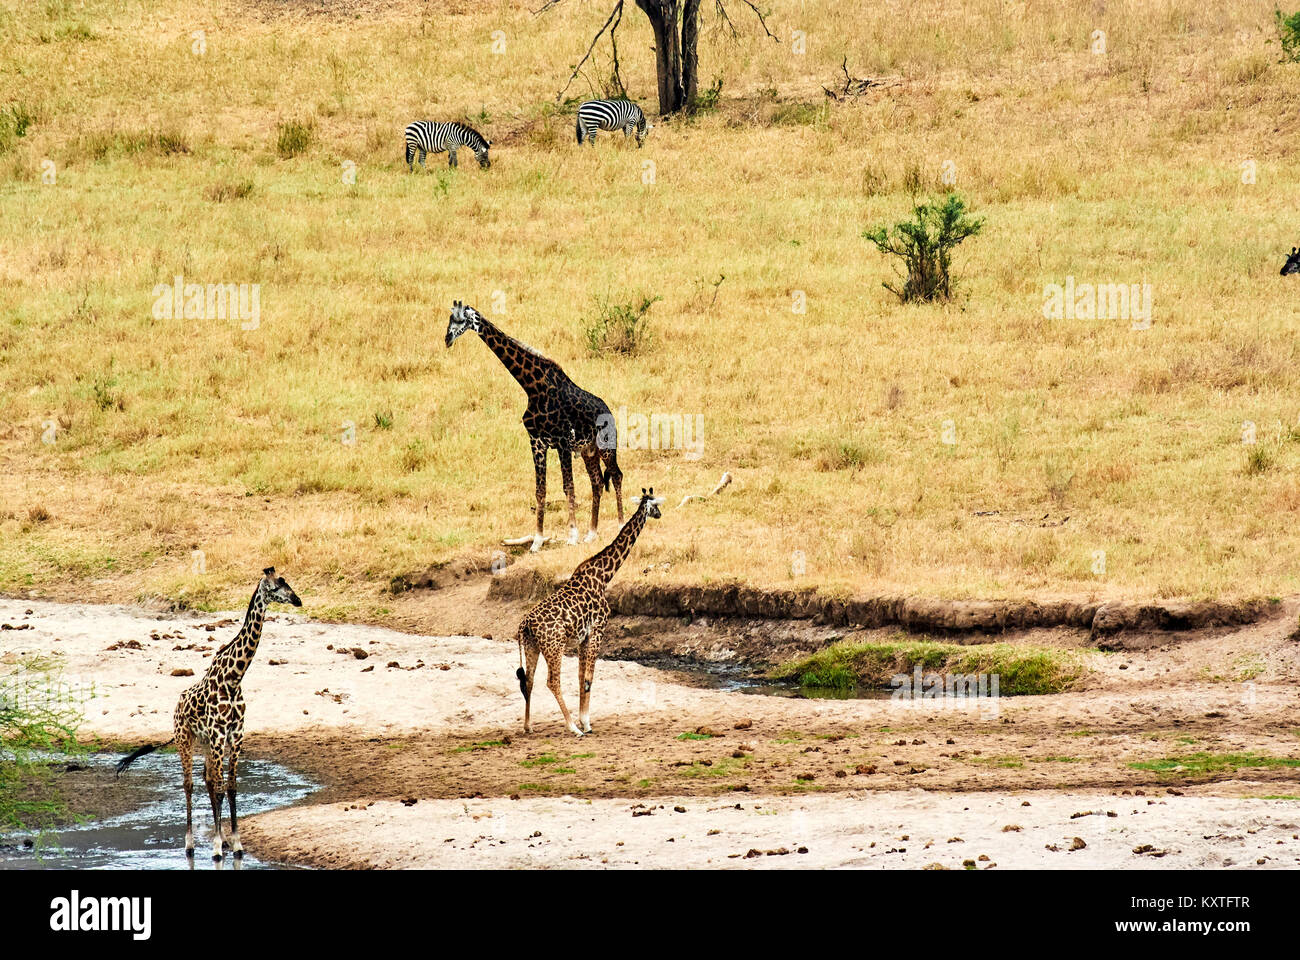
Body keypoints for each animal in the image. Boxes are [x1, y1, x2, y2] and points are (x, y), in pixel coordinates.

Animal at [115, 568, 302, 861]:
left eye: (287, 583)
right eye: (274, 588)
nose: (297, 600)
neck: (234, 678)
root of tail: (177, 706)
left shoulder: (235, 734)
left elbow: (231, 787)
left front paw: (234, 843)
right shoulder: (218, 733)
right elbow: (220, 786)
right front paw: (216, 846)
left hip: (203, 742)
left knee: (207, 779)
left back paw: (218, 839)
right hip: (185, 739)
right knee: (189, 783)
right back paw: (190, 843)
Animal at [445, 300, 624, 551]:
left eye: (461, 319)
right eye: (449, 319)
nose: (447, 339)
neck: (533, 387)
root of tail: (611, 413)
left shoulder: (562, 441)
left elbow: (568, 486)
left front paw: (572, 536)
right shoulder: (537, 441)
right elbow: (540, 490)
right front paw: (538, 541)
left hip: (606, 448)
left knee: (616, 475)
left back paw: (620, 524)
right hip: (589, 451)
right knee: (597, 482)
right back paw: (592, 533)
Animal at [514, 488, 663, 736]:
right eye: (655, 505)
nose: (660, 515)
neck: (603, 576)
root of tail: (525, 624)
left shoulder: (583, 637)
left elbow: (580, 677)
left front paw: (584, 719)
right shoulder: (598, 630)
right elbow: (589, 678)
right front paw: (585, 722)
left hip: (531, 645)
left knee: (529, 680)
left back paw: (528, 726)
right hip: (554, 646)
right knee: (552, 681)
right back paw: (573, 727)